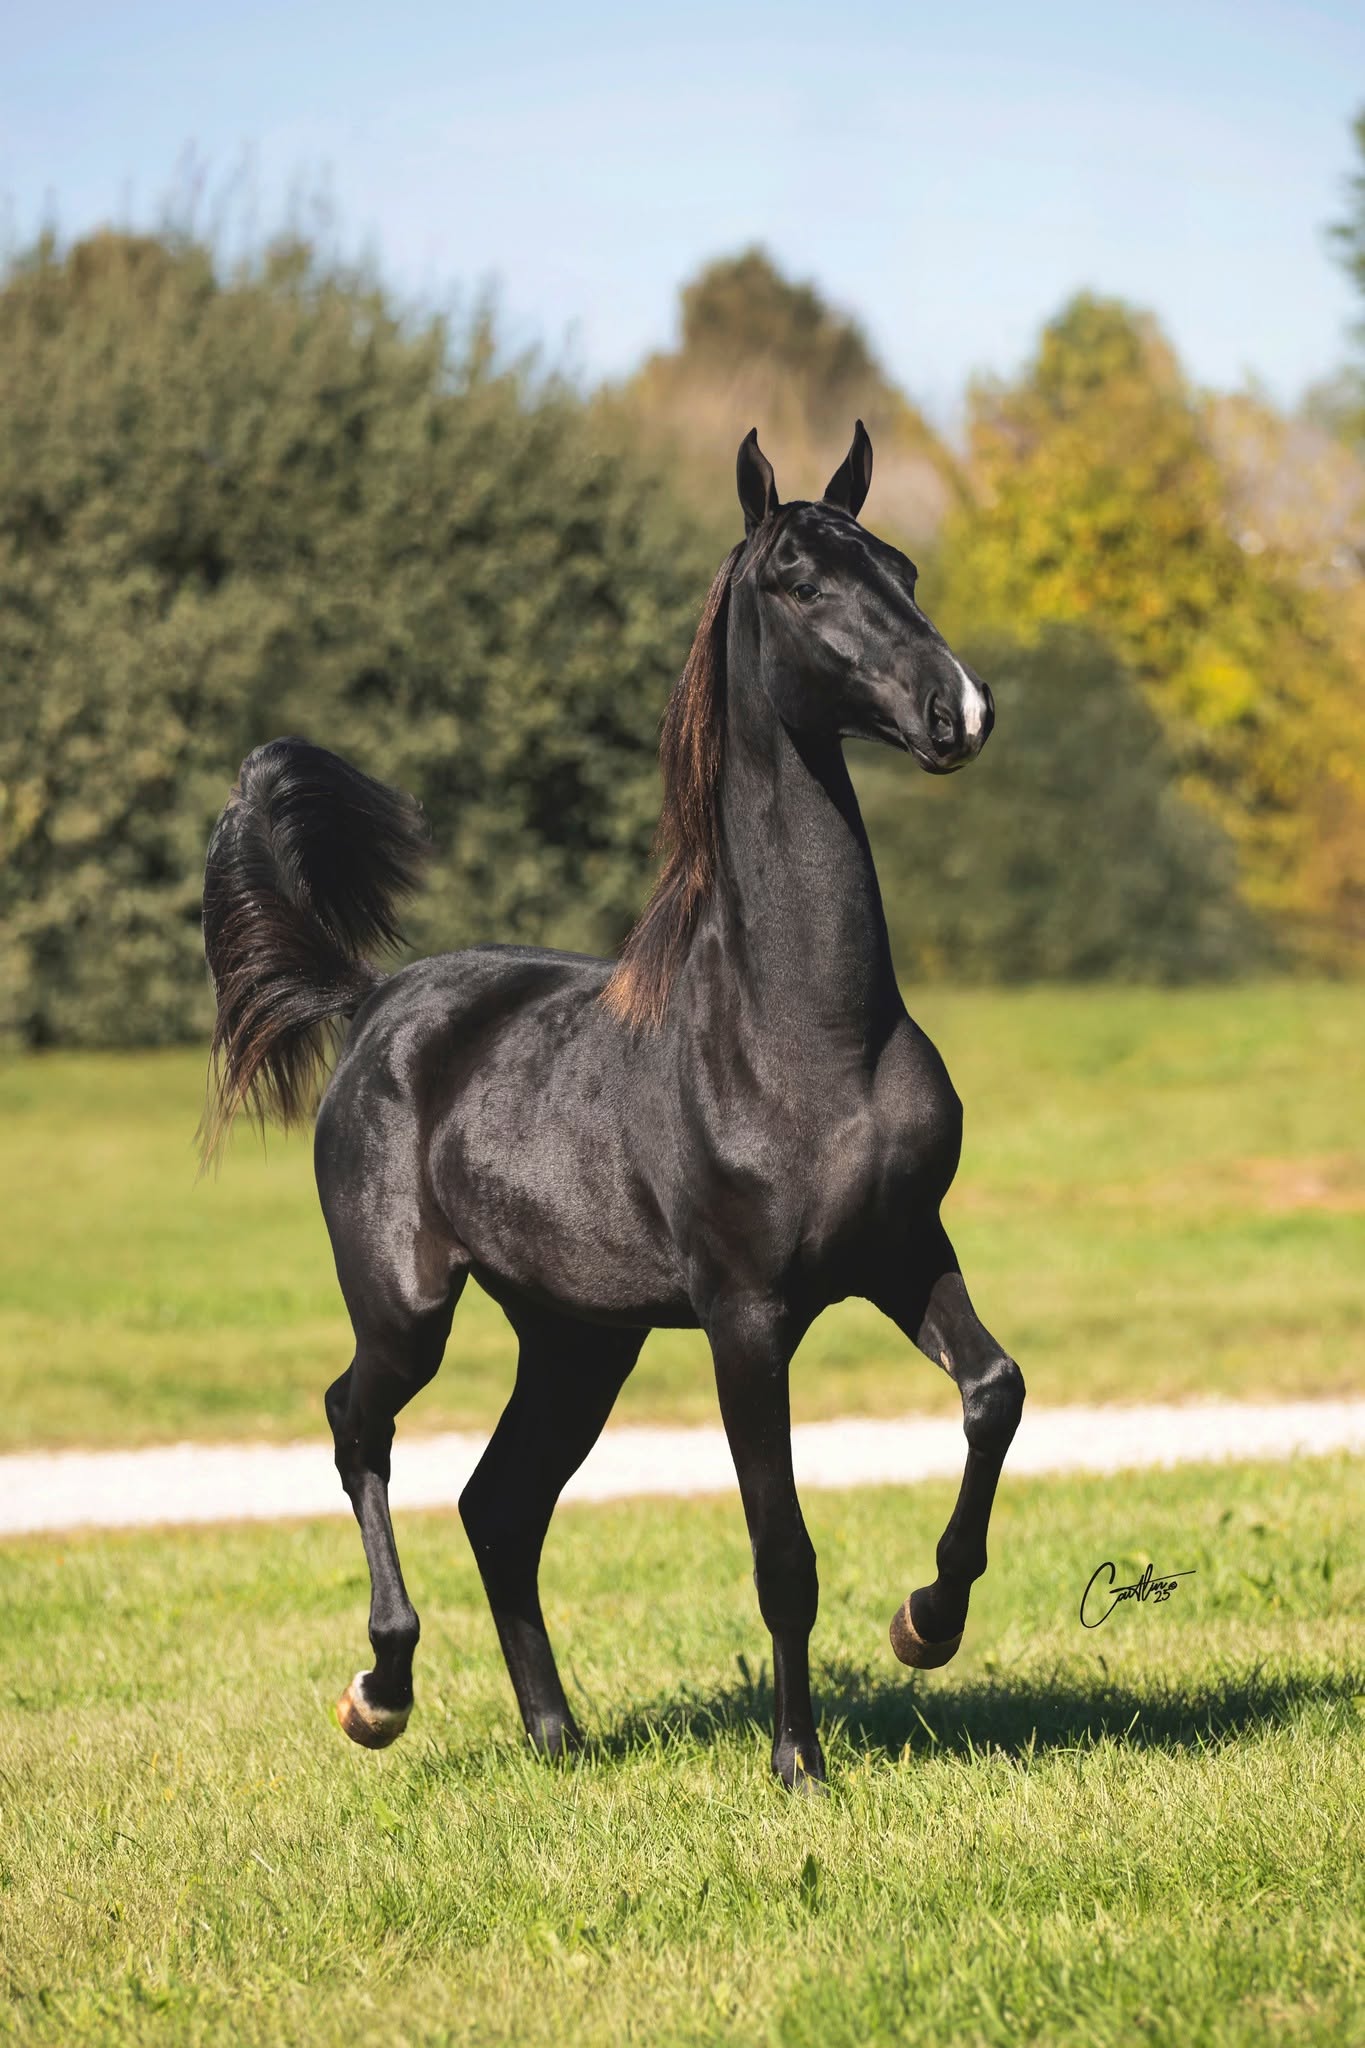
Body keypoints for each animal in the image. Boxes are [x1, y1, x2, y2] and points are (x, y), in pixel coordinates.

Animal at [201, 422, 1025, 1790]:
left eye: (903, 566)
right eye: (800, 579)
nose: (958, 709)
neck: (808, 1035)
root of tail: (374, 1001)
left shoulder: (905, 1250)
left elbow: (993, 1391)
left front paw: (928, 1621)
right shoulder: (748, 1318)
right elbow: (781, 1545)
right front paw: (798, 1761)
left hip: (579, 1339)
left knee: (498, 1501)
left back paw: (556, 1734)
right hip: (409, 1311)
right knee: (357, 1427)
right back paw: (381, 1690)